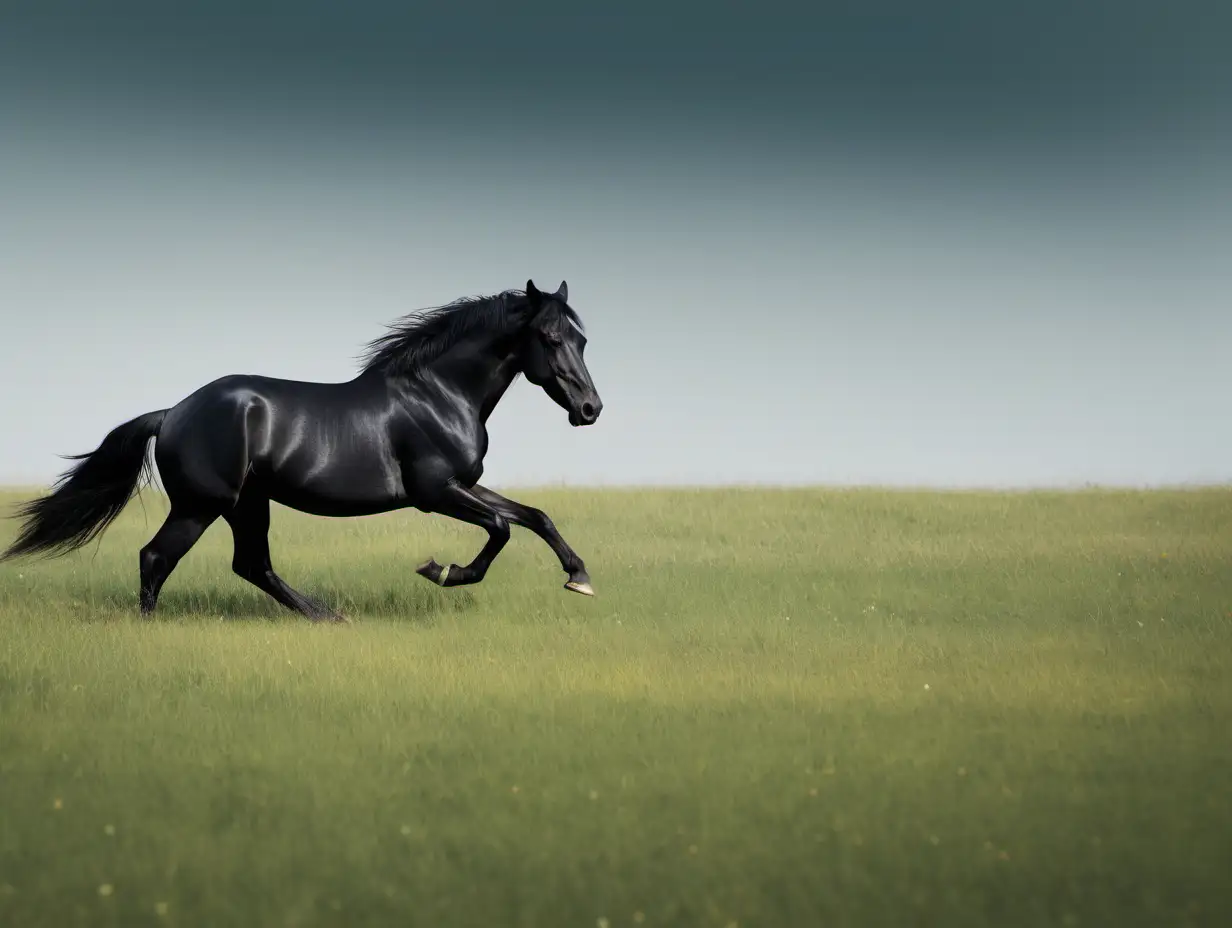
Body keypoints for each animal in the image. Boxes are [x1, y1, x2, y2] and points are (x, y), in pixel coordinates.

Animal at [1, 278, 601, 618]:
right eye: (550, 338)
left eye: (582, 339)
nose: (590, 408)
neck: (438, 394)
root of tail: (172, 414)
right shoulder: (435, 492)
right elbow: (500, 529)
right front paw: (441, 571)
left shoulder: (465, 485)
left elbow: (535, 516)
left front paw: (579, 578)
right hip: (202, 506)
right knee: (157, 558)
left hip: (247, 504)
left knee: (252, 565)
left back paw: (326, 615)